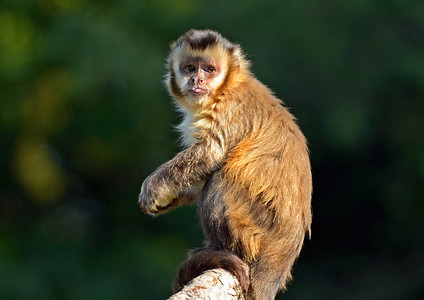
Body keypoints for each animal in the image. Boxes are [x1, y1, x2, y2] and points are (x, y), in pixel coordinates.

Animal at [138, 28, 312, 300]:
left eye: (209, 69)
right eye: (190, 68)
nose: (198, 80)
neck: (225, 89)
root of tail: (281, 259)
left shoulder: (232, 106)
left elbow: (211, 154)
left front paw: (153, 186)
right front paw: (165, 200)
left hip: (255, 229)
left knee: (221, 178)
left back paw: (222, 250)